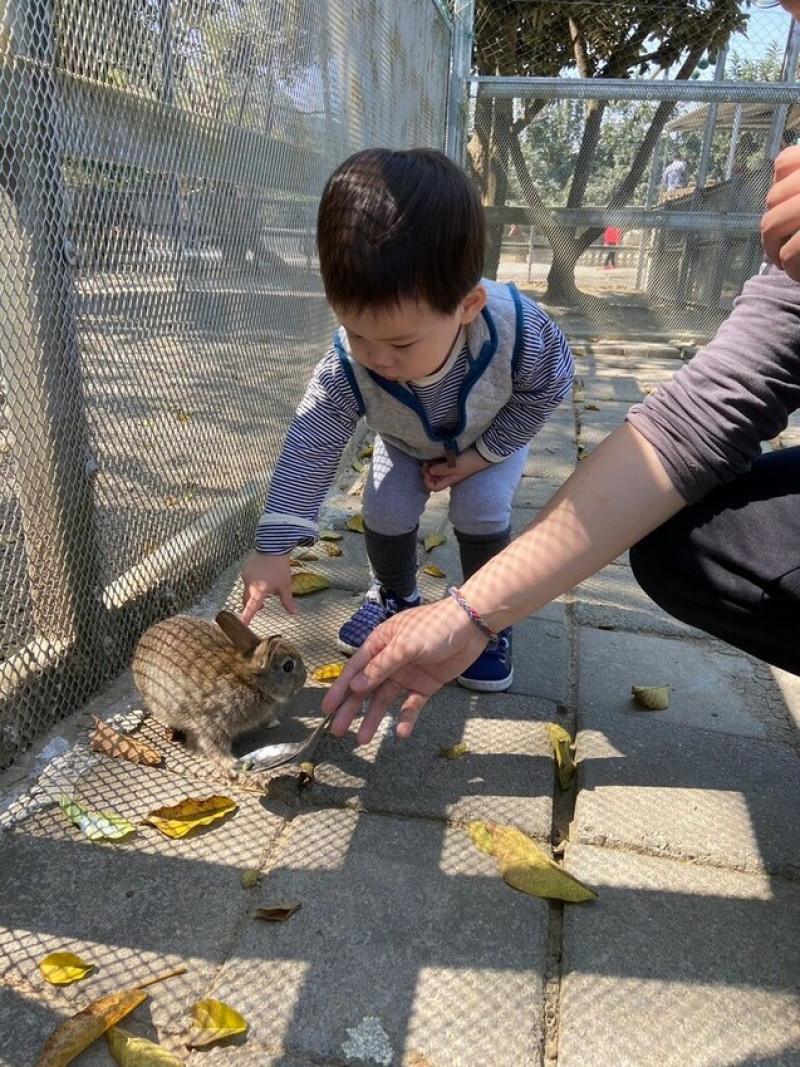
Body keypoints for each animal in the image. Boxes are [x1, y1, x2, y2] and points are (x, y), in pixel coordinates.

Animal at [131, 610, 307, 776]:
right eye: (288, 666)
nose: (304, 678)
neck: (249, 681)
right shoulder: (212, 721)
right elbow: (214, 746)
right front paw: (230, 765)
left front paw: (273, 722)